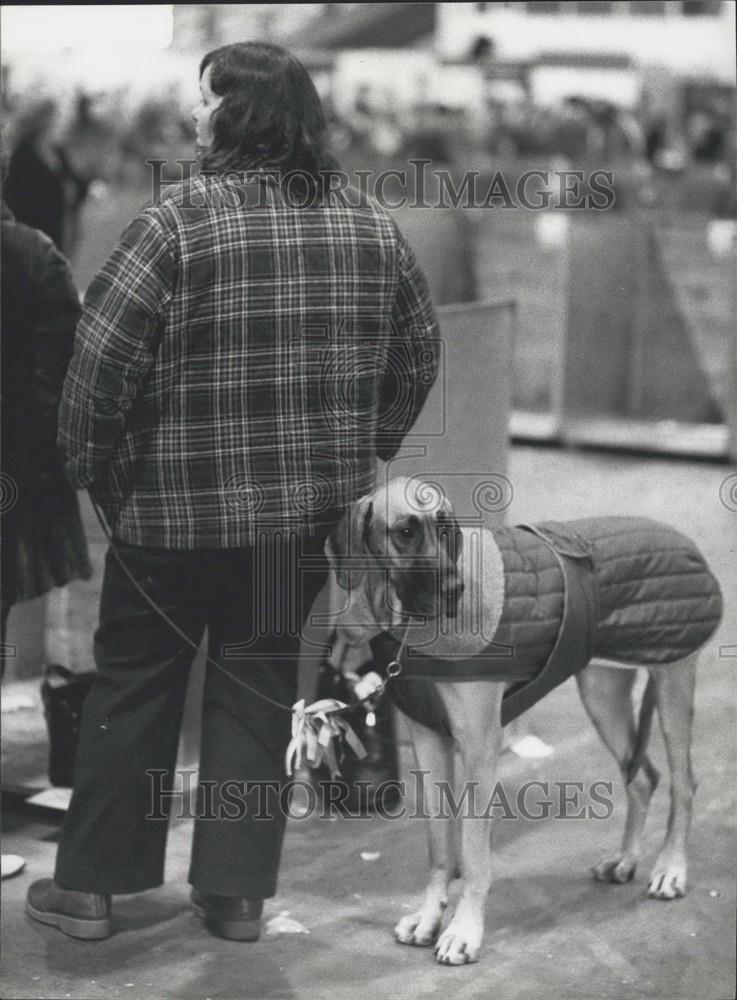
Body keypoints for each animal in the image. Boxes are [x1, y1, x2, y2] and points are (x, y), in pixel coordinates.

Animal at [324, 480, 720, 964]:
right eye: (404, 531)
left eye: (447, 529)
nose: (456, 590)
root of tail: (681, 539)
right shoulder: (429, 741)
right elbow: (440, 847)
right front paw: (428, 917)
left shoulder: (479, 746)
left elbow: (474, 853)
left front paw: (464, 931)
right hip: (602, 693)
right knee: (644, 777)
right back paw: (626, 860)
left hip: (672, 683)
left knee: (684, 783)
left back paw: (671, 869)